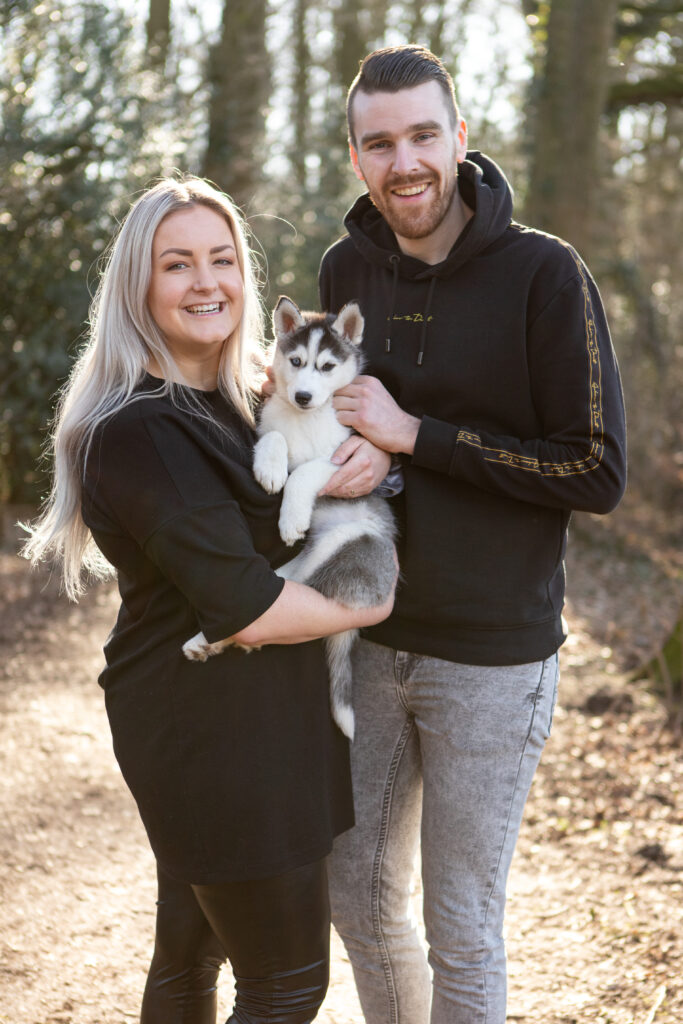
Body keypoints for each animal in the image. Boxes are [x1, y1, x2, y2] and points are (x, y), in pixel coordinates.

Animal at [183, 294, 395, 737]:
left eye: (327, 367)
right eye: (296, 361)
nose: (302, 397)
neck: (306, 420)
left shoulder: (346, 459)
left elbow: (305, 473)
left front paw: (291, 516)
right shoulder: (272, 425)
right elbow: (276, 438)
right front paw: (270, 469)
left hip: (345, 549)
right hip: (289, 571)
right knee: (264, 603)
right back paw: (203, 642)